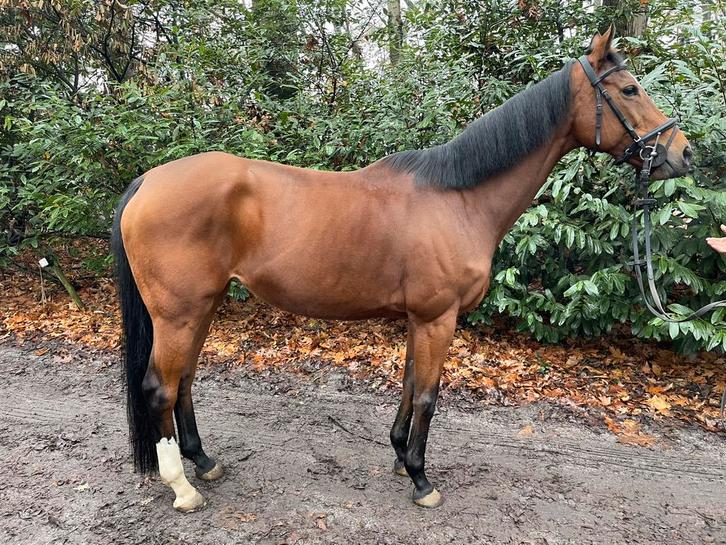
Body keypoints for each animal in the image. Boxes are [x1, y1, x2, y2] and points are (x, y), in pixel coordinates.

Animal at [111, 28, 692, 512]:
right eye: (631, 89)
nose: (683, 154)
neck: (458, 198)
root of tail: (147, 182)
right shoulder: (439, 318)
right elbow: (430, 396)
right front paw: (421, 479)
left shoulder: (421, 318)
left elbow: (410, 385)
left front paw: (397, 456)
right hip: (179, 313)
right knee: (160, 387)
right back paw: (182, 488)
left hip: (201, 307)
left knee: (184, 379)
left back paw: (204, 462)